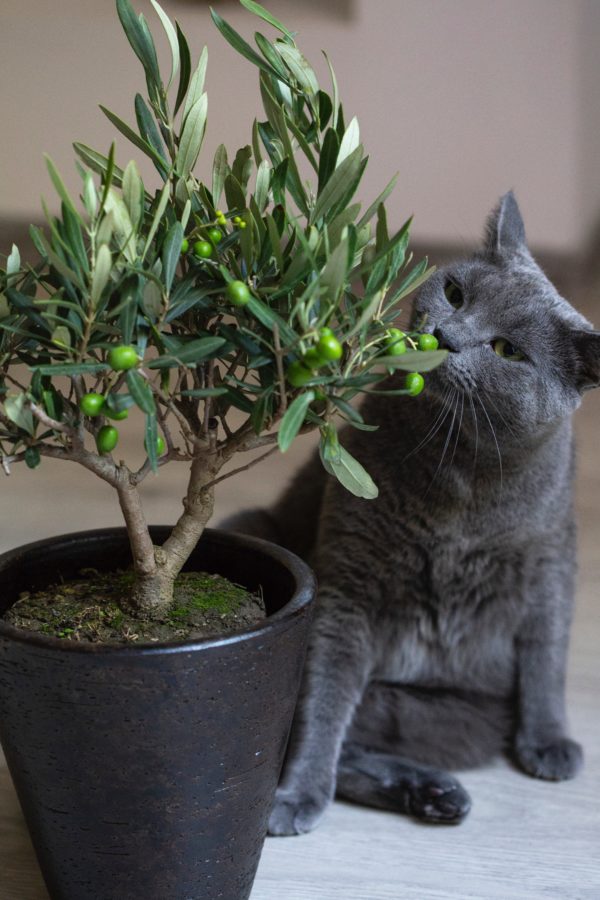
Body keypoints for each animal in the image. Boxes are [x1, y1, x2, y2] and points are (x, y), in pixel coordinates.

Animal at [227, 193, 596, 832]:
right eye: (455, 293)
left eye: (507, 350)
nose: (444, 334)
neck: (460, 472)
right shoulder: (347, 582)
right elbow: (321, 702)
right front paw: (298, 793)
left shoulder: (551, 562)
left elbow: (548, 655)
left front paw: (549, 742)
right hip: (252, 528)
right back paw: (416, 794)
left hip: (463, 718)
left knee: (375, 734)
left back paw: (436, 794)